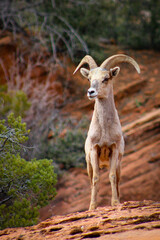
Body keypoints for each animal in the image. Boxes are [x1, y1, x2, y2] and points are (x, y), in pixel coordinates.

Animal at [74, 54, 140, 210]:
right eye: (89, 78)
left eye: (106, 78)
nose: (91, 92)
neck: (104, 130)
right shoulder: (94, 150)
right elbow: (96, 178)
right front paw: (92, 207)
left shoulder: (114, 150)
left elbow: (112, 177)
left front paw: (115, 203)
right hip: (89, 165)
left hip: (119, 165)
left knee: (117, 180)